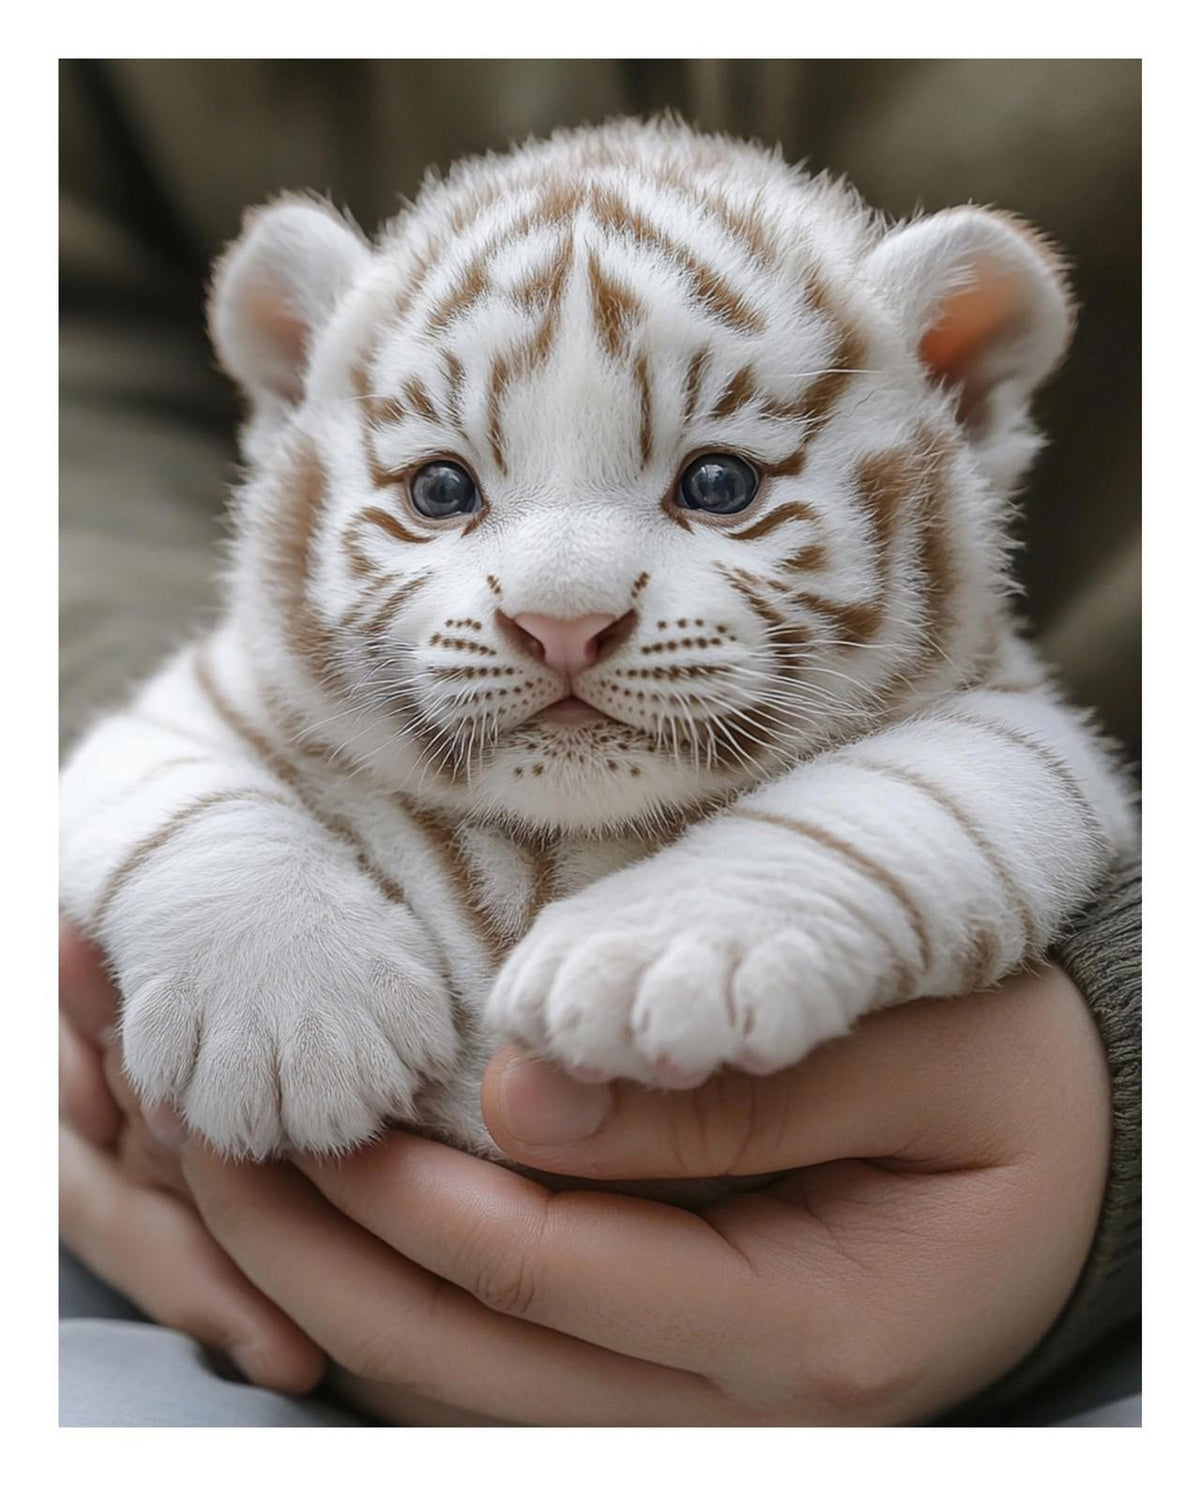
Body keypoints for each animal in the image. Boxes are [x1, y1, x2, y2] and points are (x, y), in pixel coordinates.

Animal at [59, 116, 1137, 1161]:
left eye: (719, 485)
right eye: (441, 489)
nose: (563, 623)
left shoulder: (1018, 730)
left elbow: (866, 804)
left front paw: (657, 958)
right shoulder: (202, 698)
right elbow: (193, 802)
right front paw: (294, 1019)